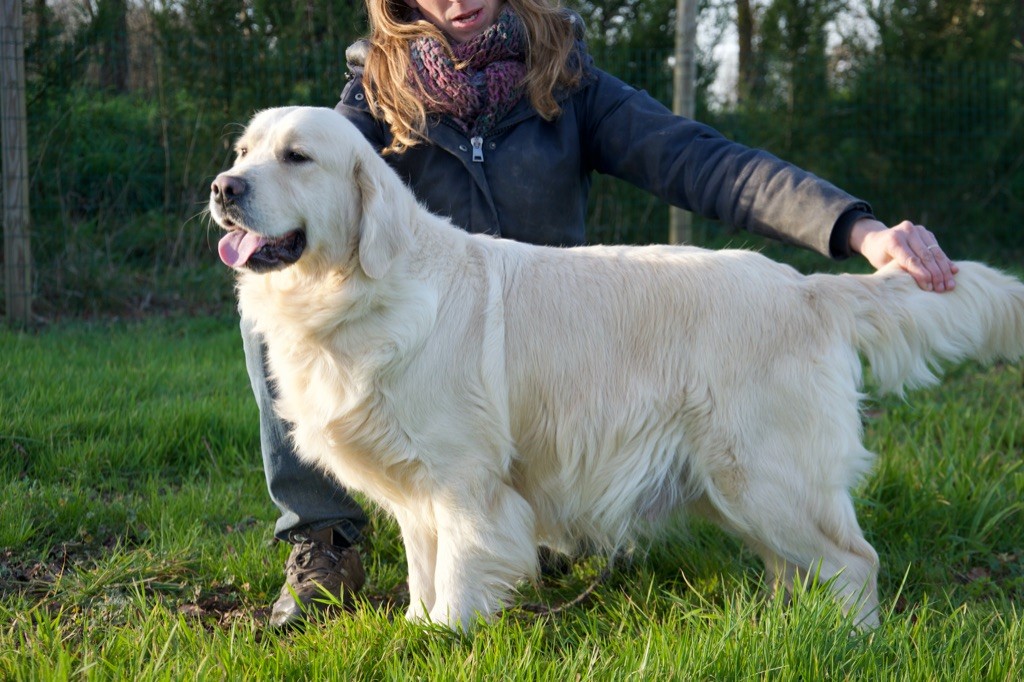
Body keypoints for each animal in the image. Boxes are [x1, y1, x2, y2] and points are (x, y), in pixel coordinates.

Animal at [207, 104, 1024, 626]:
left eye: (297, 157)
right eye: (243, 152)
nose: (223, 187)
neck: (354, 291)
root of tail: (808, 287)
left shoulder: (465, 481)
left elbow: (461, 576)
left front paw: (446, 638)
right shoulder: (417, 490)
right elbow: (421, 570)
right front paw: (415, 628)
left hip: (765, 474)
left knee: (854, 562)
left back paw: (846, 643)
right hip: (742, 487)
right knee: (800, 566)